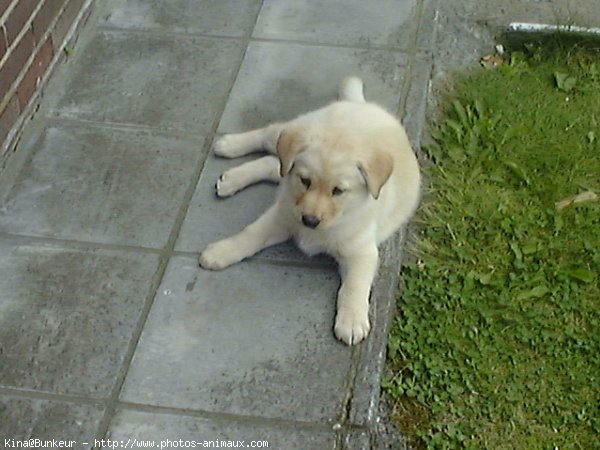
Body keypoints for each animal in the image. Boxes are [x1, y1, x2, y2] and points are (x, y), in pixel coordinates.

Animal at [199, 77, 420, 344]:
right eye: (305, 181)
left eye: (338, 191)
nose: (310, 220)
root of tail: (362, 104)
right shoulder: (282, 215)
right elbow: (251, 234)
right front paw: (222, 251)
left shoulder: (361, 252)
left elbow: (355, 285)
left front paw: (352, 320)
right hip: (296, 130)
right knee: (270, 136)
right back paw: (229, 145)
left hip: (288, 160)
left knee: (273, 165)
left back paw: (231, 178)